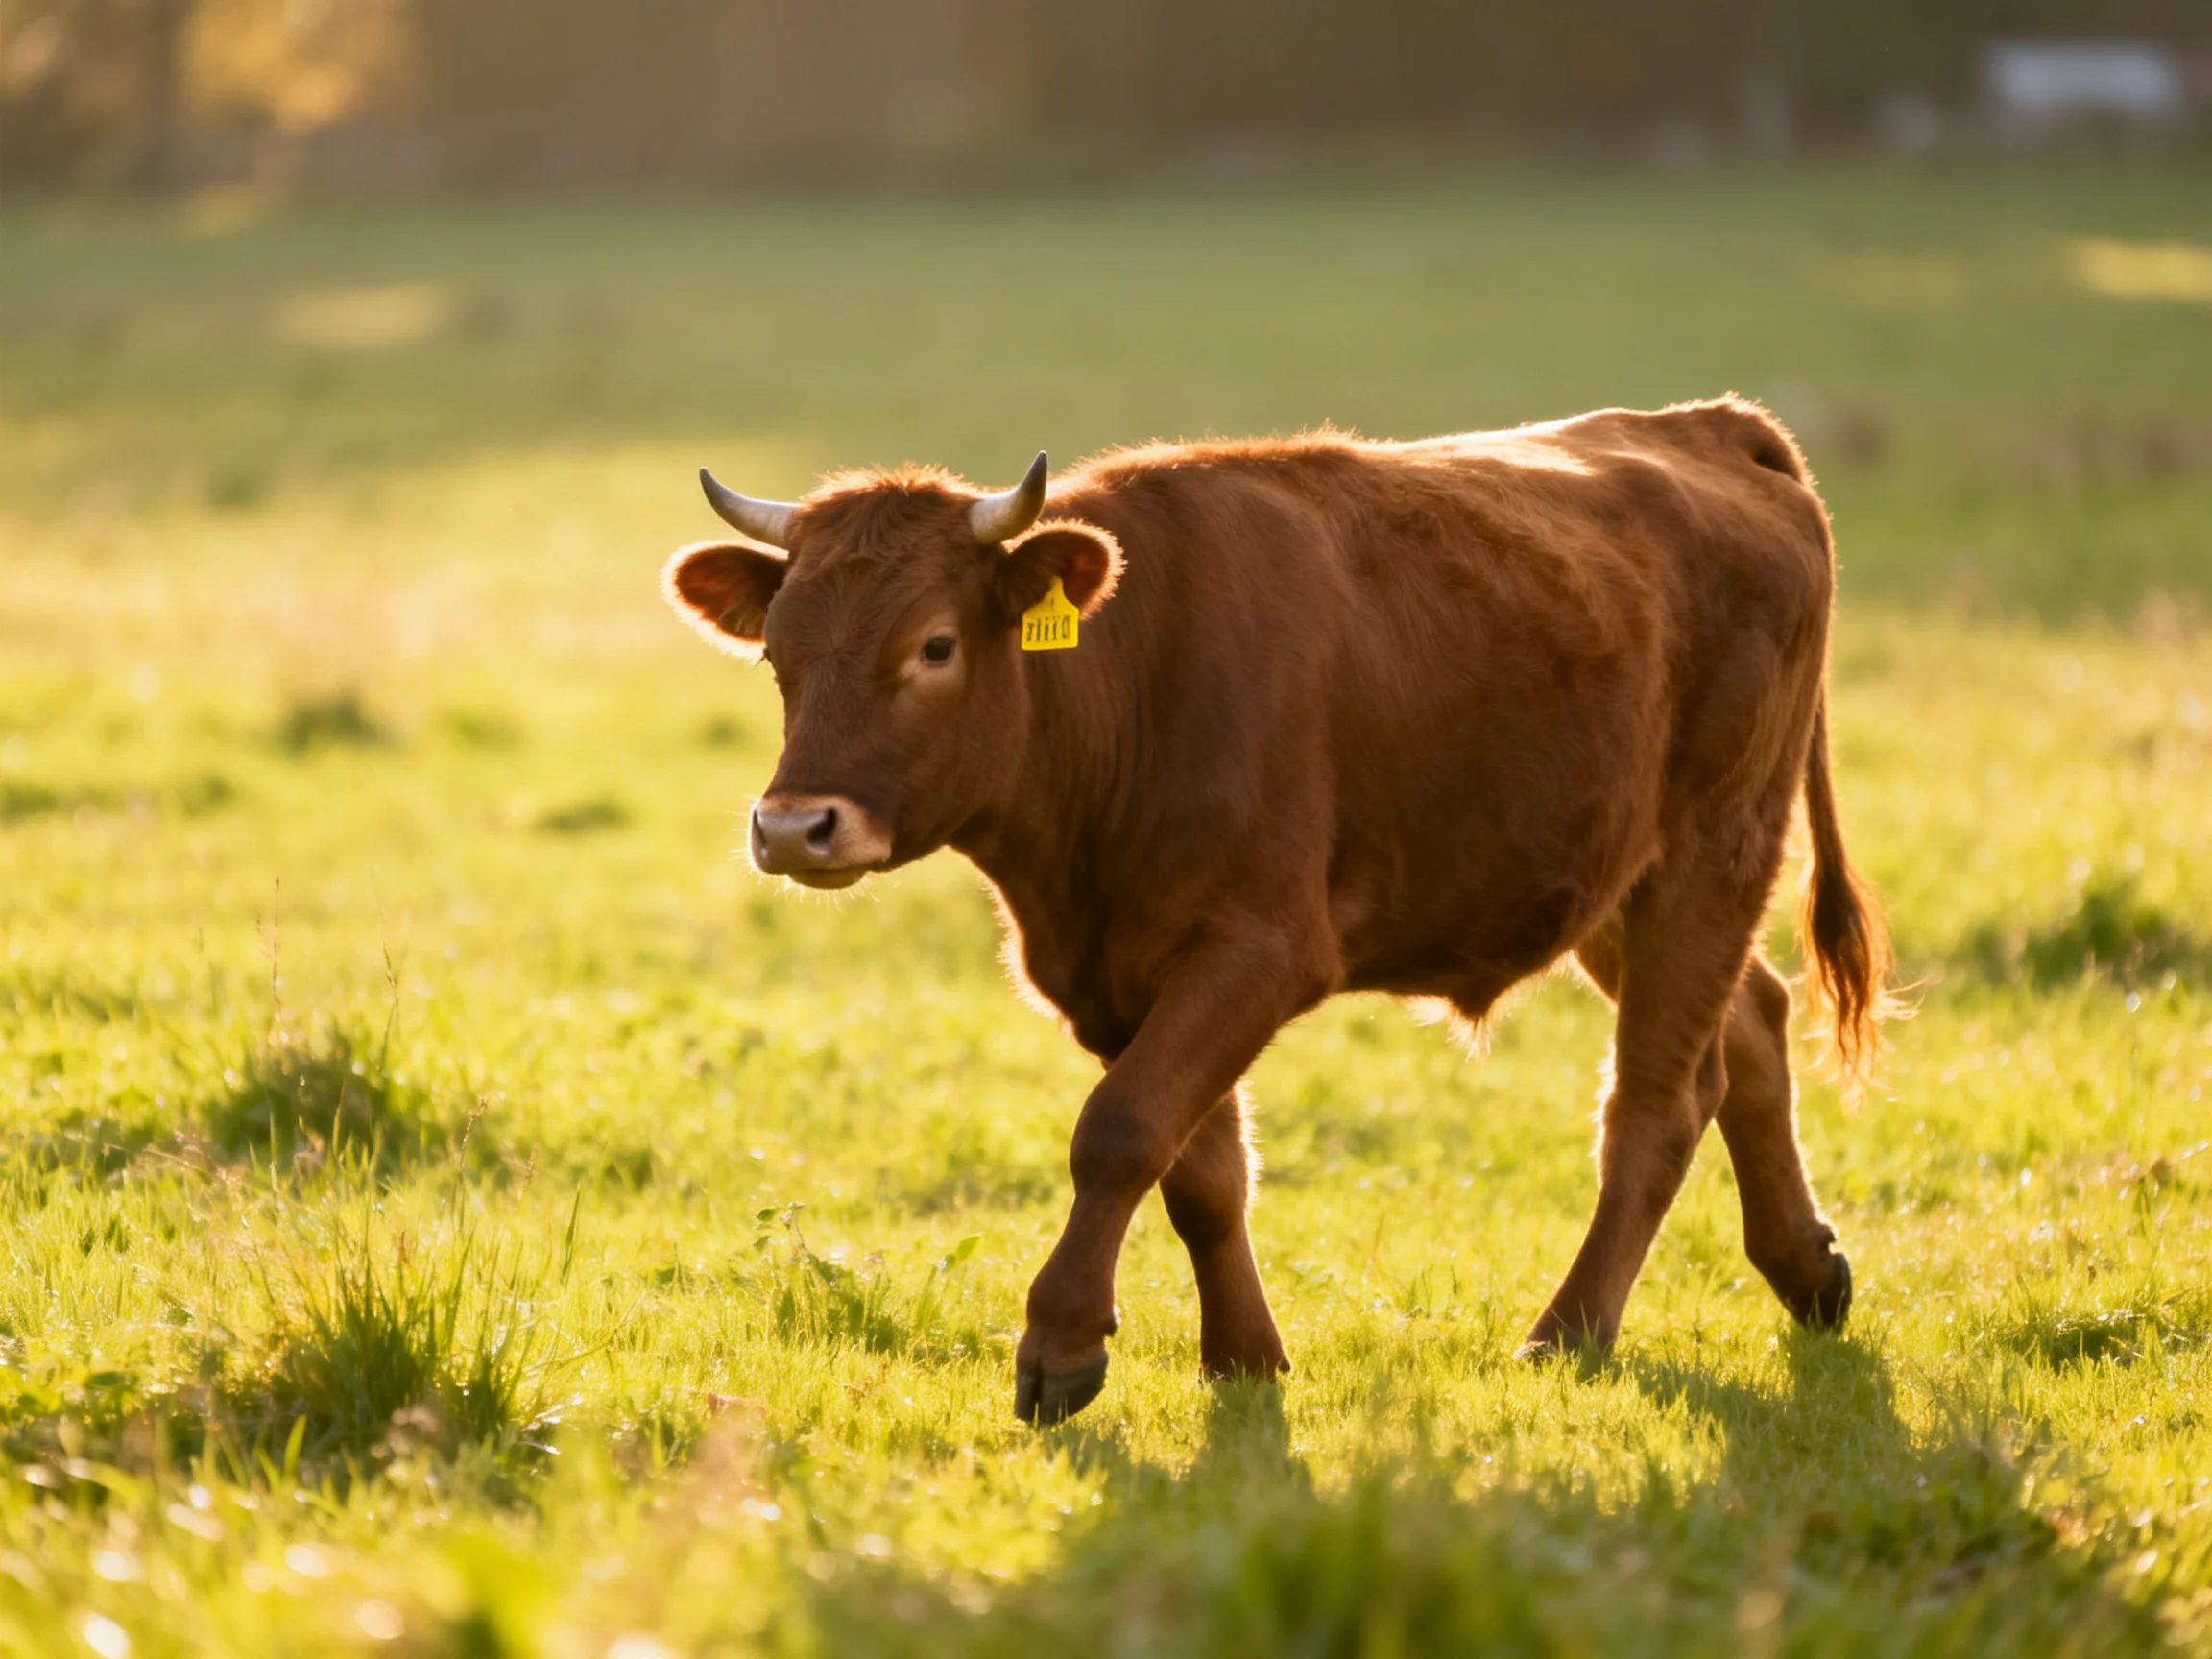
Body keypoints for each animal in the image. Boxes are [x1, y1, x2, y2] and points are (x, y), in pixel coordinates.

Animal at [662, 397, 1889, 1425]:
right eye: (779, 655)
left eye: (933, 644)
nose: (795, 827)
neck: (1132, 677)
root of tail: (1711, 426)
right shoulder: (1122, 974)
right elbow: (1198, 1168)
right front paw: (1243, 1355)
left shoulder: (1261, 947)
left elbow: (1121, 1130)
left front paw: (1061, 1342)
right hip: (1616, 889)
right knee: (1750, 1026)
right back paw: (1806, 1268)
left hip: (1712, 851)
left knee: (1658, 1099)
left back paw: (1570, 1331)